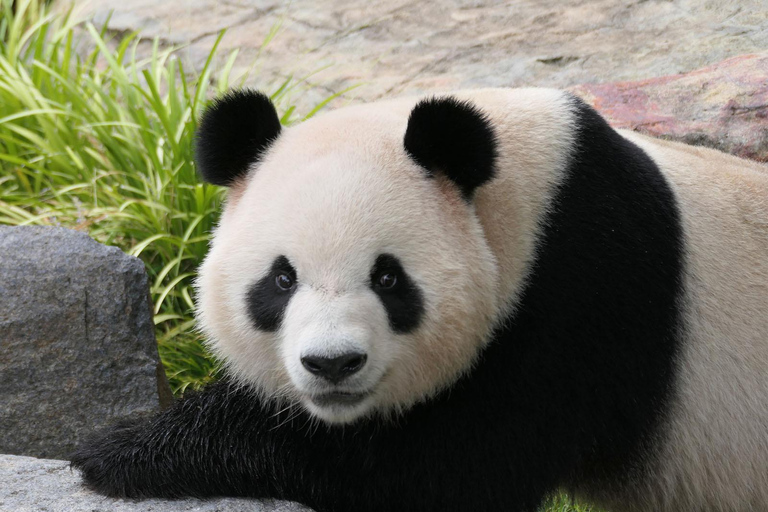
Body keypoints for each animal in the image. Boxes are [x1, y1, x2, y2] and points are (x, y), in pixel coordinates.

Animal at [71, 88, 768, 512]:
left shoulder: (581, 297)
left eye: (388, 279)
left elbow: (440, 469)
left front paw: (122, 449)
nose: (333, 365)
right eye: (281, 280)